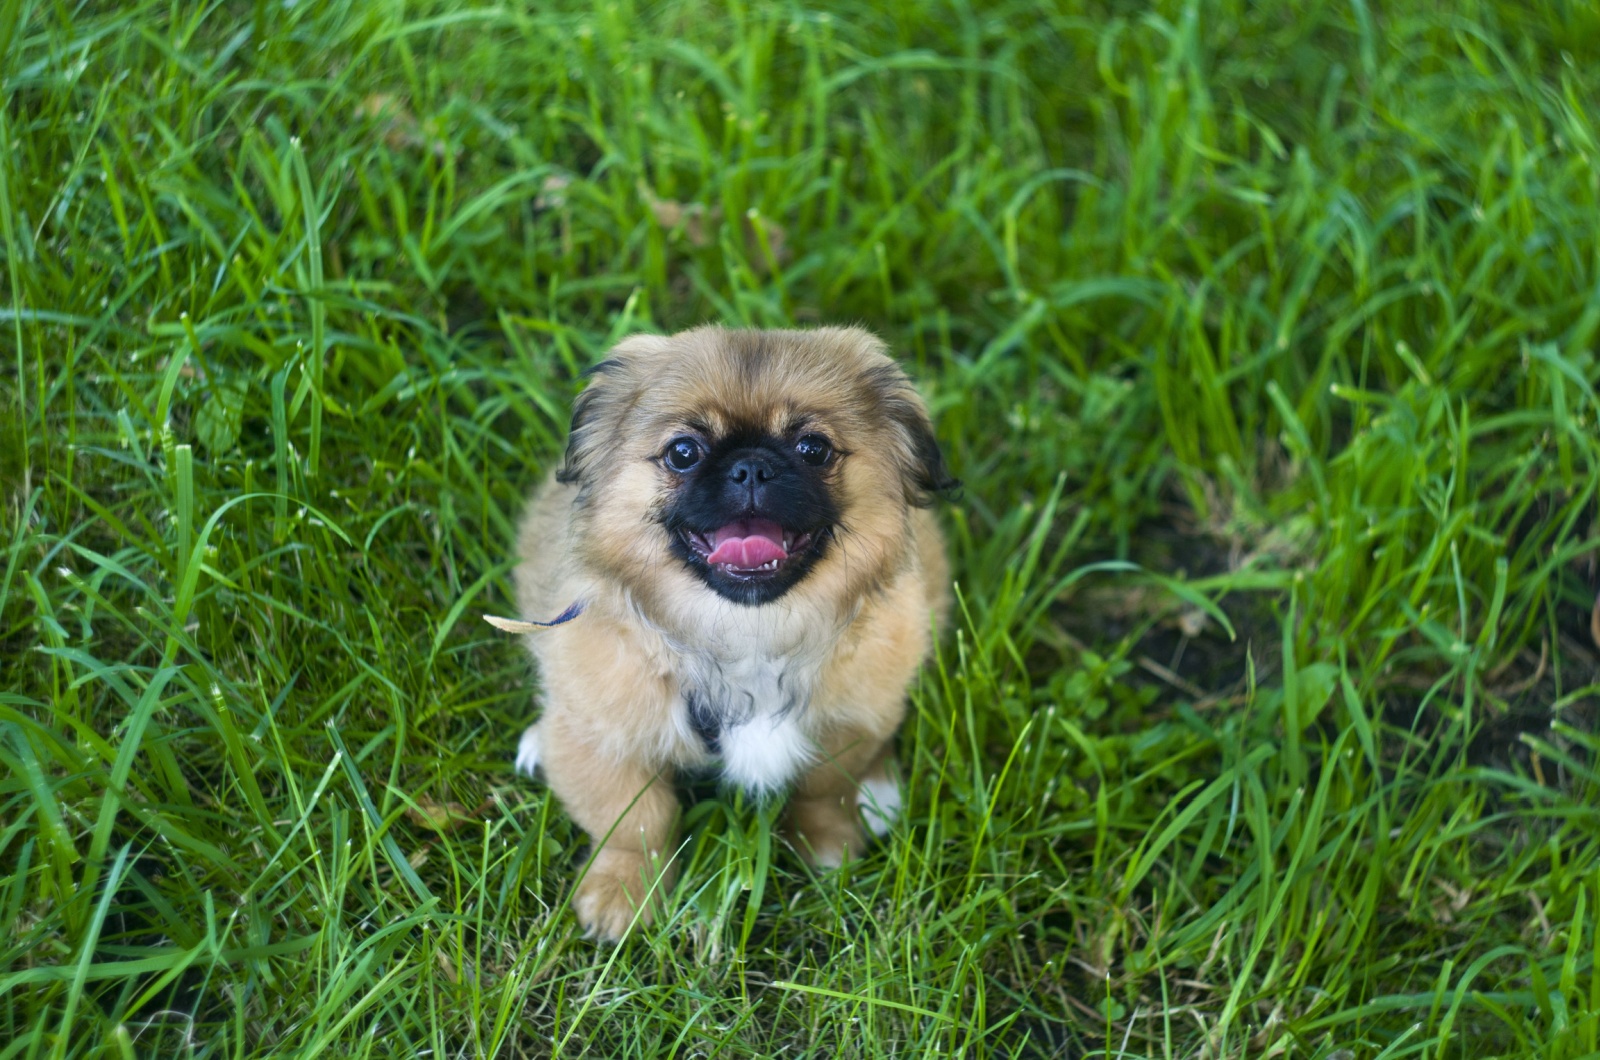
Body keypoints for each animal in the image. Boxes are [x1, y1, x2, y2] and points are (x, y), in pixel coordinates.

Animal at [508, 323, 947, 941]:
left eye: (813, 448)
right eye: (683, 452)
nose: (752, 468)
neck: (749, 637)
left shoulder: (848, 721)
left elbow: (825, 789)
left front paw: (829, 847)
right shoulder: (608, 734)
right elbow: (635, 820)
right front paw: (623, 894)